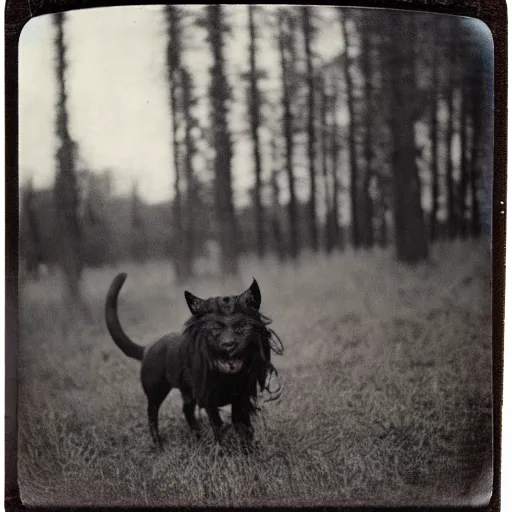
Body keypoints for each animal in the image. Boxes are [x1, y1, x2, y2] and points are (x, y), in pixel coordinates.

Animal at [105, 276, 282, 448]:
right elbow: (218, 427)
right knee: (152, 414)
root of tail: (146, 349)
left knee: (186, 410)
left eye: (242, 326)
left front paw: (248, 450)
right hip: (156, 392)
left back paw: (198, 436)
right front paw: (224, 451)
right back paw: (158, 445)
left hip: (186, 392)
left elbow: (243, 426)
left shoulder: (241, 398)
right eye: (215, 328)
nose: (228, 344)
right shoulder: (209, 400)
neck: (227, 378)